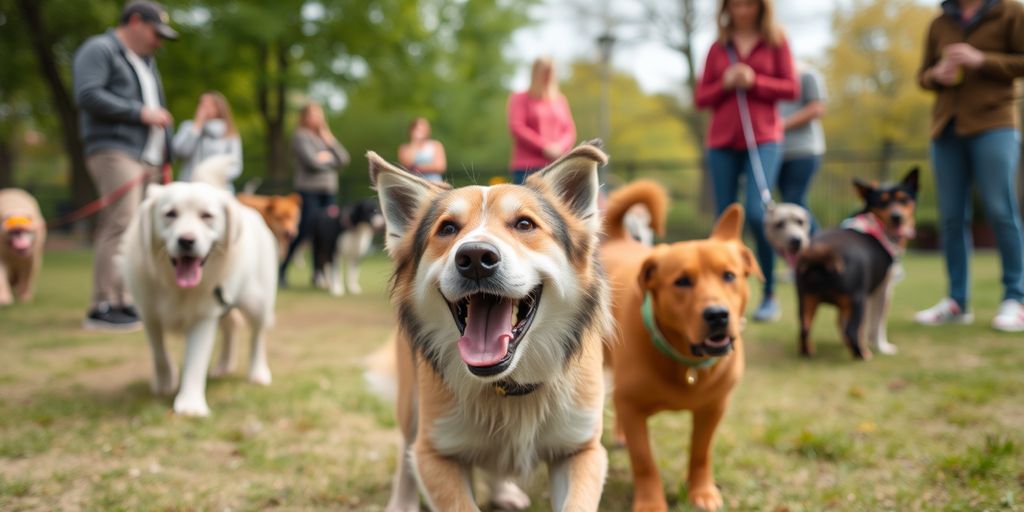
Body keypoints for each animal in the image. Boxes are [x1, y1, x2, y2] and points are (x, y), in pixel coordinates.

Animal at [121, 181, 278, 415]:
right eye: (170, 214)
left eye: (207, 216)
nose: (186, 240)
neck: (177, 288)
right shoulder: (149, 312)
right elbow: (159, 352)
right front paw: (165, 381)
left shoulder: (204, 316)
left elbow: (196, 359)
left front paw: (190, 404)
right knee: (231, 328)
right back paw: (223, 366)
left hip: (256, 301)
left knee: (257, 337)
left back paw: (258, 373)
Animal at [372, 142, 610, 509]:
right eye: (447, 229)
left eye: (525, 224)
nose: (474, 258)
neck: (506, 388)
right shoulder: (434, 454)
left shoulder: (581, 449)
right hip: (411, 400)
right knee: (405, 448)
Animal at [794, 168, 917, 360]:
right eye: (882, 202)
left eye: (903, 199)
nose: (896, 216)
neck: (875, 223)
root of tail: (823, 255)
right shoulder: (882, 290)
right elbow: (876, 325)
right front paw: (882, 347)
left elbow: (847, 324)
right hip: (857, 299)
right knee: (851, 330)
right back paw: (864, 355)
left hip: (806, 300)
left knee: (805, 328)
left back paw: (809, 351)